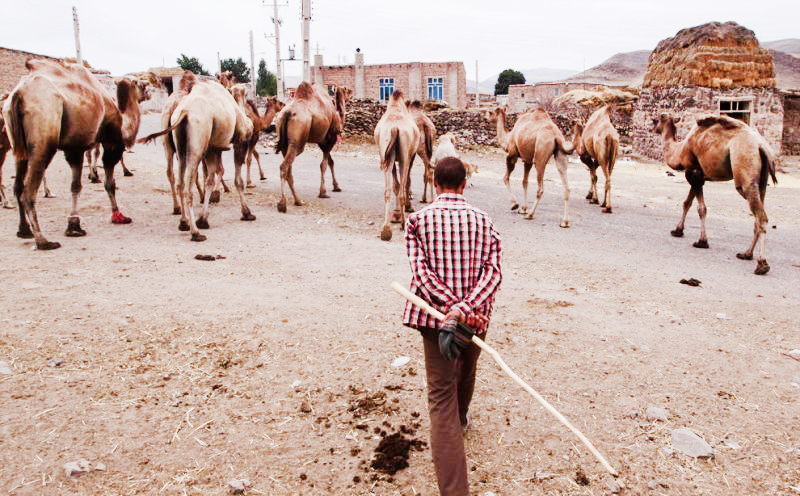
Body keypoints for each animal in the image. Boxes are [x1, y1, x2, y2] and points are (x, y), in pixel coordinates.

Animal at [1, 58, 131, 250]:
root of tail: (18, 94)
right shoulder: (106, 141)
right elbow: (105, 180)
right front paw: (118, 214)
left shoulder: (74, 148)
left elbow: (75, 186)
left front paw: (74, 226)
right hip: (44, 133)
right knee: (28, 190)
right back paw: (43, 241)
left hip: (17, 144)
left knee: (17, 186)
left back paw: (24, 230)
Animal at [139, 81, 253, 242]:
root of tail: (184, 112)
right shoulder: (240, 141)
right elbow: (237, 180)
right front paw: (246, 212)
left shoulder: (212, 149)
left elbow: (211, 178)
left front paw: (204, 218)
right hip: (197, 144)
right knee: (188, 187)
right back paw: (195, 233)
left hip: (180, 148)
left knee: (179, 182)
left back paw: (183, 222)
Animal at [276, 81, 346, 211]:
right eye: (345, 91)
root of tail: (287, 113)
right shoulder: (331, 138)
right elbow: (324, 164)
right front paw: (323, 192)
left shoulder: (322, 142)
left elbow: (330, 162)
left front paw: (336, 186)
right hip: (297, 142)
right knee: (284, 166)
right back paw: (283, 204)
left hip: (285, 144)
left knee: (288, 169)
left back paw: (298, 201)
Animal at [372, 92, 418, 242]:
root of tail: (394, 128)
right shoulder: (411, 156)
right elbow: (405, 182)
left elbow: (395, 185)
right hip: (404, 156)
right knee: (402, 188)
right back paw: (403, 224)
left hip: (386, 152)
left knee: (387, 190)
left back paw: (385, 230)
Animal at [652, 113, 780, 276]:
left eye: (658, 118)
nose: (653, 125)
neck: (680, 150)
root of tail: (761, 146)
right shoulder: (697, 176)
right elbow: (687, 203)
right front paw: (677, 230)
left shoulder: (693, 173)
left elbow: (701, 208)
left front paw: (702, 241)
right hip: (762, 182)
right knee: (758, 215)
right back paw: (746, 254)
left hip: (744, 172)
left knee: (761, 217)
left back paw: (762, 265)